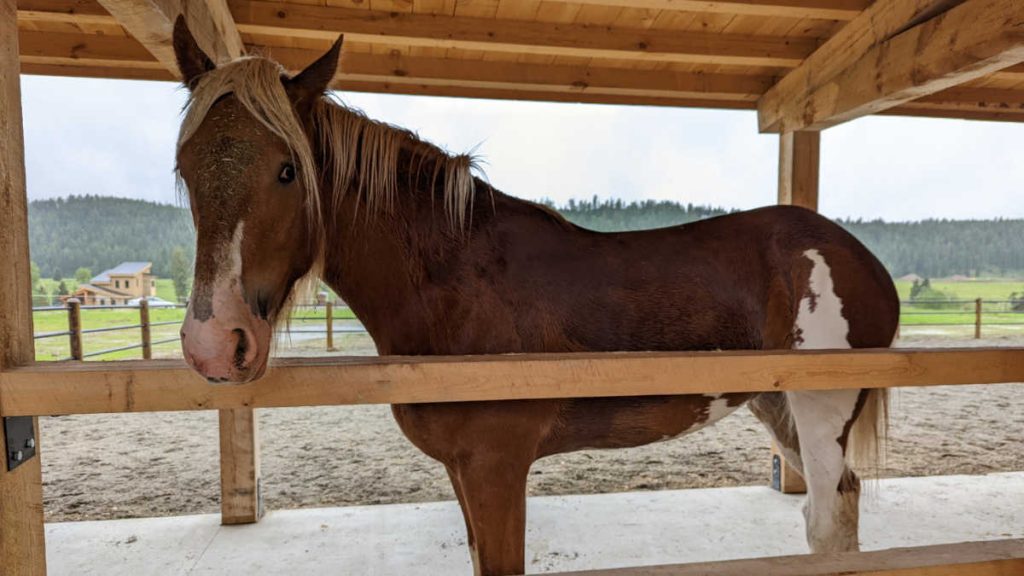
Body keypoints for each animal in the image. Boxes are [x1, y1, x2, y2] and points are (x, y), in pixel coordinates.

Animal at [174, 17, 897, 573]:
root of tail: (857, 255)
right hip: (778, 406)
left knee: (829, 519)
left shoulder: (496, 468)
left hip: (821, 414)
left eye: (287, 171)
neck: (451, 285)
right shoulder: (463, 471)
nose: (215, 342)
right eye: (184, 168)